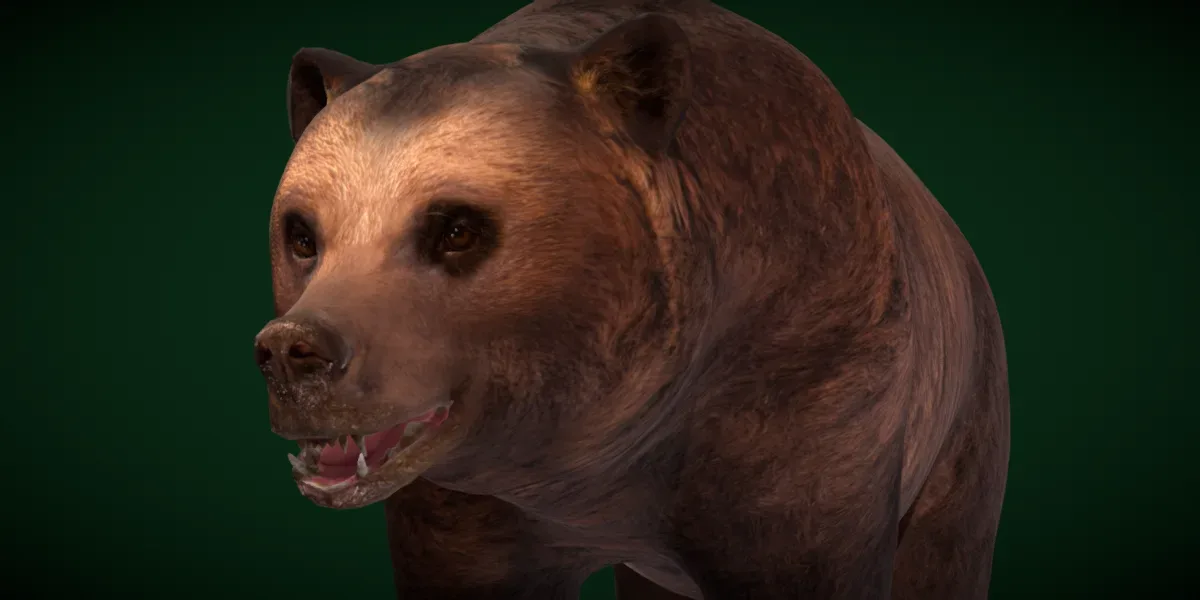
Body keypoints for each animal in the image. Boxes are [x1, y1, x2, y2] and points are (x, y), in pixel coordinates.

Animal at [252, 0, 1011, 598]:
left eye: (457, 229)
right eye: (302, 233)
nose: (293, 349)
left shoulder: (804, 413)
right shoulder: (470, 509)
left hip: (961, 424)